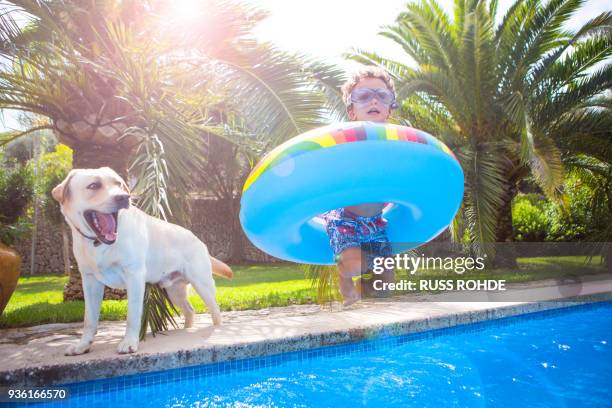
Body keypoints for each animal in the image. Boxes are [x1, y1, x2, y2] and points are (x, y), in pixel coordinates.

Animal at [52, 166, 232, 354]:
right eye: (94, 185)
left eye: (118, 184)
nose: (124, 197)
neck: (98, 243)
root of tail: (198, 240)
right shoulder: (90, 281)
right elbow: (89, 319)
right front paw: (83, 345)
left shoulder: (134, 276)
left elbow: (132, 316)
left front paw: (130, 342)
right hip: (174, 291)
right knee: (190, 310)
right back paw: (186, 330)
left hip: (202, 285)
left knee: (215, 310)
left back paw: (215, 329)